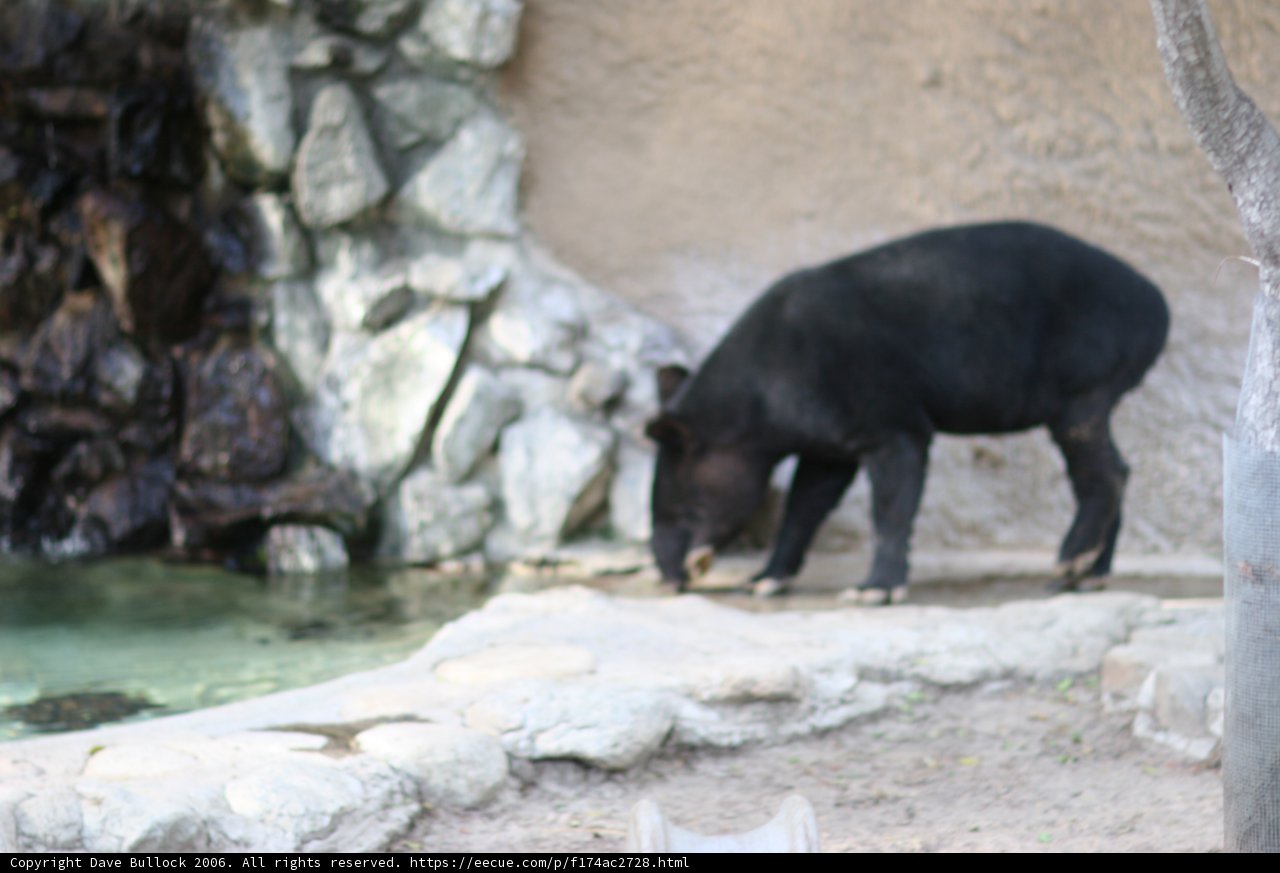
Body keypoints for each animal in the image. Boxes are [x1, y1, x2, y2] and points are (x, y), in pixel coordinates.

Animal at [646, 221, 1169, 603]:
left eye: (685, 508)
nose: (669, 580)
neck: (762, 391)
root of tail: (1158, 304)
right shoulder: (829, 438)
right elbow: (805, 505)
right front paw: (765, 580)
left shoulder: (885, 416)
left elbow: (892, 500)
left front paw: (873, 591)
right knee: (1118, 467)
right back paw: (1088, 575)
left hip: (1084, 378)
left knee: (1100, 467)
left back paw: (1070, 562)